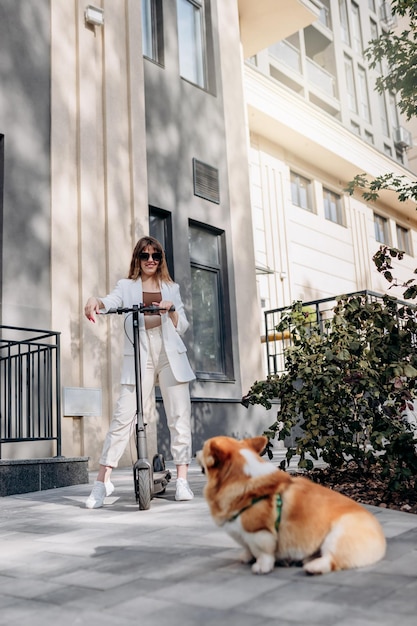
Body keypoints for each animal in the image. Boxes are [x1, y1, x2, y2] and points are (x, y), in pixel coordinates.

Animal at [197, 434, 386, 576]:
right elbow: (249, 549)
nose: (196, 452)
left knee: (333, 559)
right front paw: (246, 556)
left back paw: (312, 567)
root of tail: (381, 539)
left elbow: (263, 553)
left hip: (337, 535)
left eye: (204, 449)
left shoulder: (259, 532)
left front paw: (261, 567)